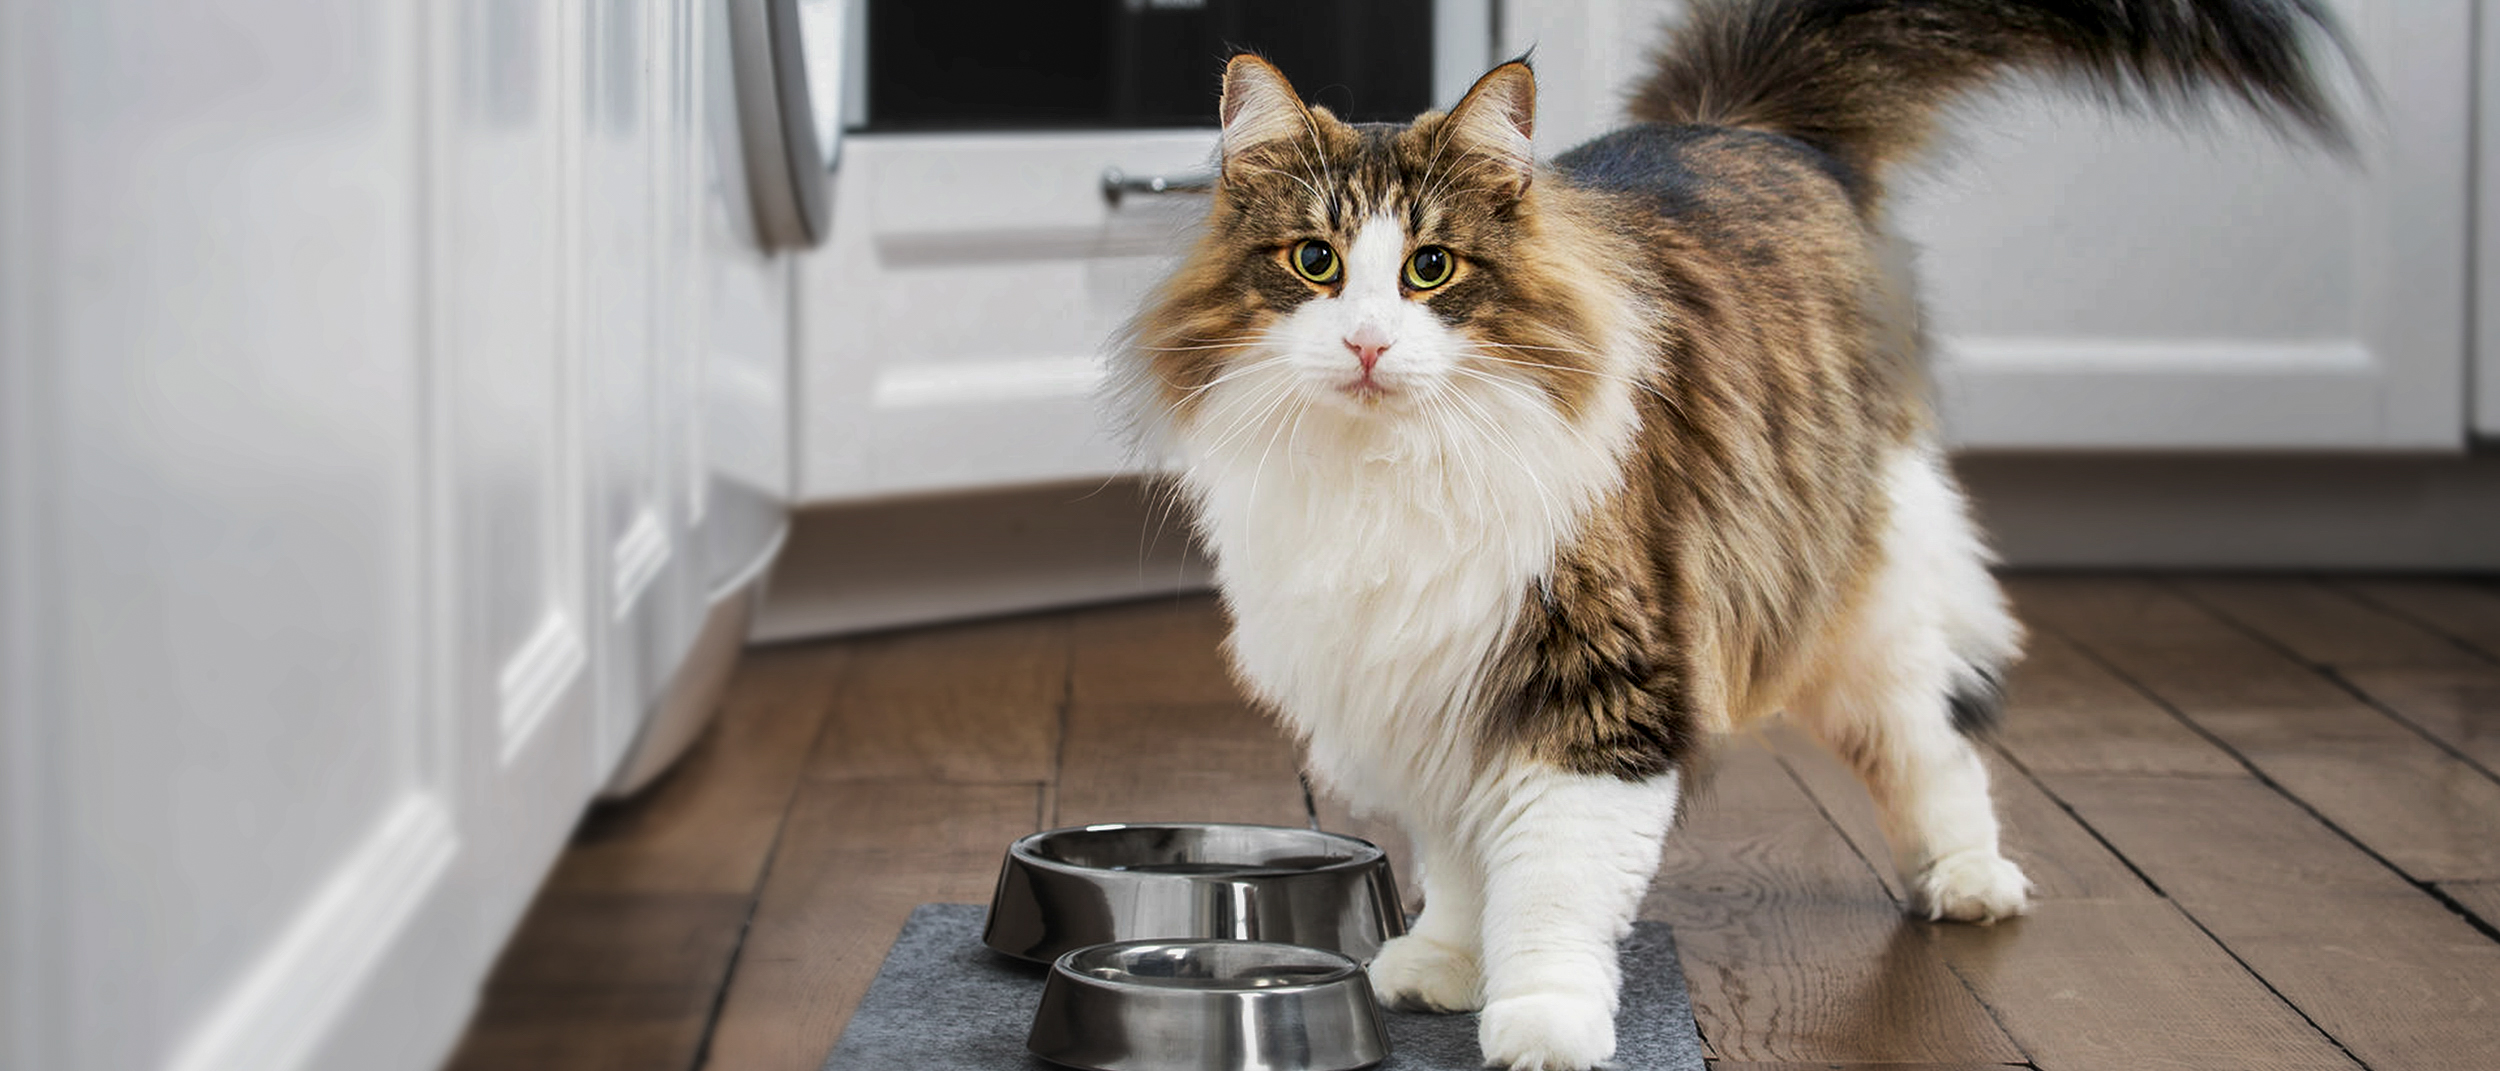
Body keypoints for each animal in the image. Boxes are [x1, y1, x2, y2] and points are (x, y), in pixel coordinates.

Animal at [1110, 4, 2340, 1065]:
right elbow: (1458, 859)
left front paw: (1542, 1023)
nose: (1366, 345)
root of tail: (1741, 126)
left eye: (1429, 269)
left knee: (1936, 735)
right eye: (1314, 263)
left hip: (1853, 597)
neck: (1388, 474)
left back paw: (1967, 878)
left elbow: (1550, 884)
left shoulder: (1597, 681)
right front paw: (1446, 964)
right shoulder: (1418, 677)